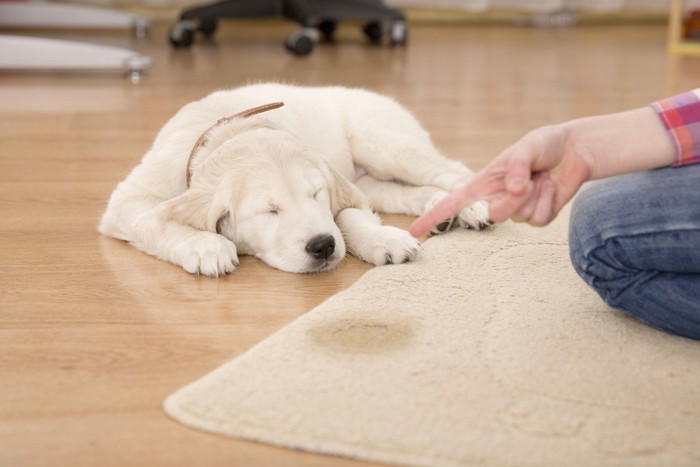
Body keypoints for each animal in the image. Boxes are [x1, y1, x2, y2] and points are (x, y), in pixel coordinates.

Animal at [98, 82, 490, 276]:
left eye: (316, 195)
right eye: (270, 212)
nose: (323, 246)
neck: (229, 130)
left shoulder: (339, 188)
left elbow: (347, 216)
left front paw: (382, 239)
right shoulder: (127, 201)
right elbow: (157, 220)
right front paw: (205, 246)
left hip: (384, 145)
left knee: (454, 170)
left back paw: (471, 207)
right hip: (371, 176)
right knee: (402, 191)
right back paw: (440, 210)